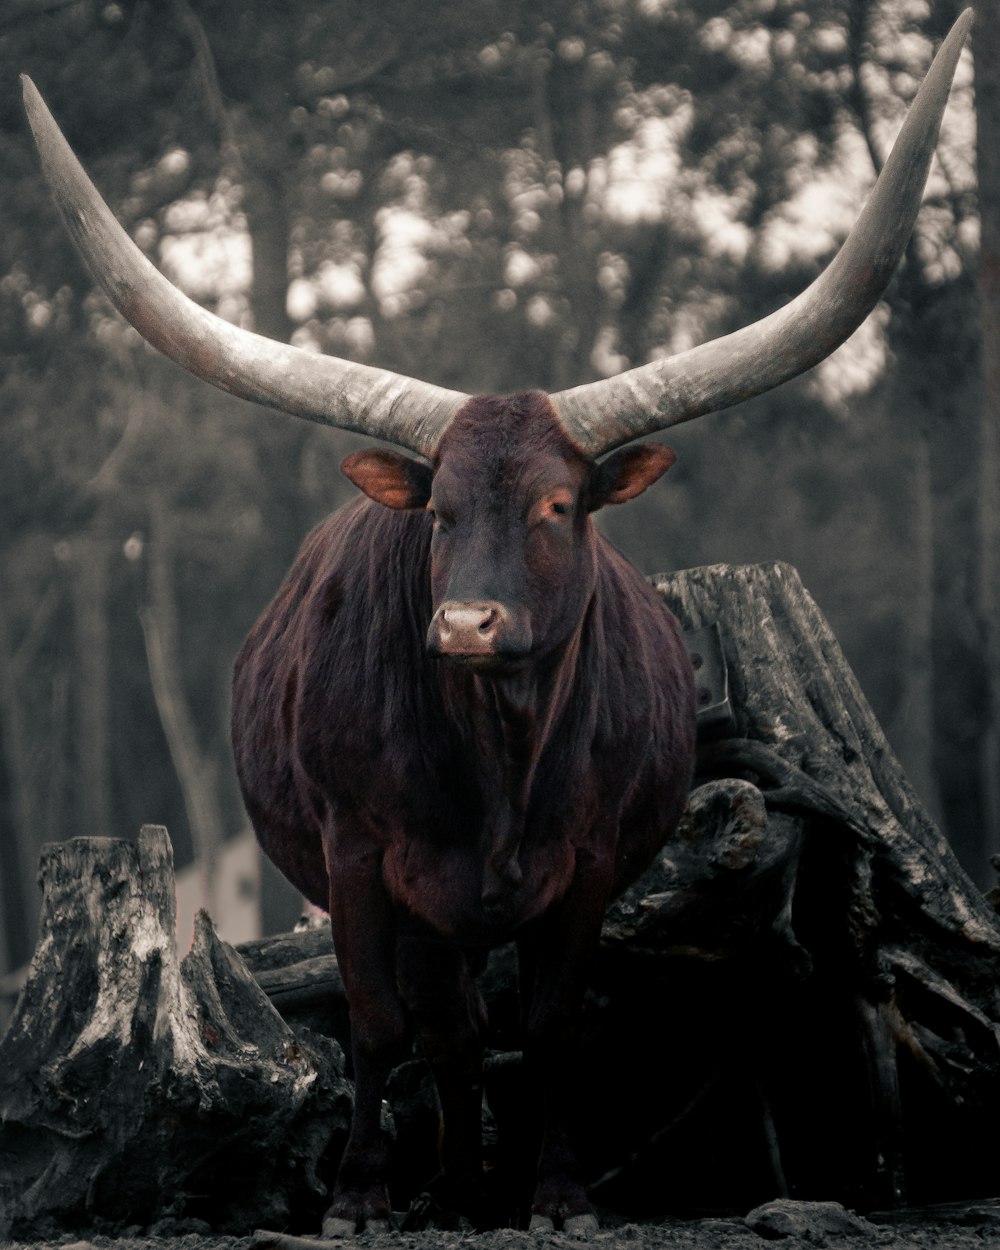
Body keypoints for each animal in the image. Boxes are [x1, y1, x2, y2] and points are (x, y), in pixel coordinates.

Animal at [23, 9, 975, 1235]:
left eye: (557, 506)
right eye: (438, 509)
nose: (468, 624)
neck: (497, 752)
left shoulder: (587, 866)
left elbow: (555, 1024)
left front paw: (558, 1192)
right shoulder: (360, 860)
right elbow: (384, 1025)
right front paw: (364, 1196)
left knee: (475, 1028)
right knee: (444, 1029)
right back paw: (449, 1182)